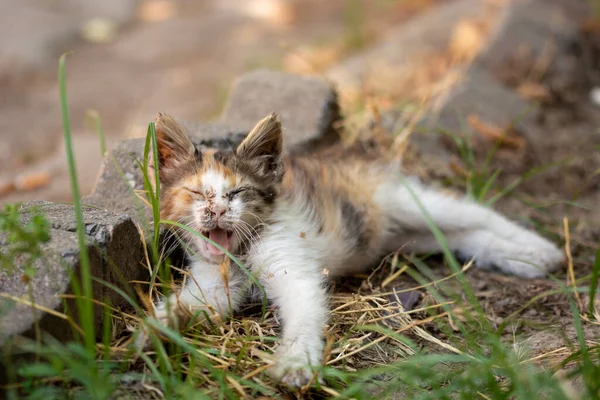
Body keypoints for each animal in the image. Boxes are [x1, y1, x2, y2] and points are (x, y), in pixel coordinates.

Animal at [148, 112, 564, 388]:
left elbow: (304, 312)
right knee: (462, 235)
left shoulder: (293, 268)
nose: (217, 211)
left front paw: (296, 363)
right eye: (196, 193)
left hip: (404, 200)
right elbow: (189, 304)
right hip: (402, 234)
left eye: (236, 192)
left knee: (475, 213)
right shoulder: (213, 282)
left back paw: (539, 249)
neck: (242, 251)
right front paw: (152, 332)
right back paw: (518, 258)